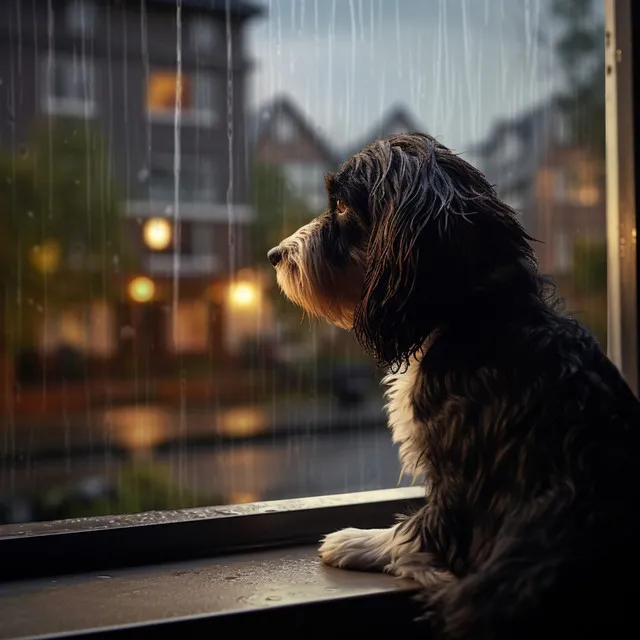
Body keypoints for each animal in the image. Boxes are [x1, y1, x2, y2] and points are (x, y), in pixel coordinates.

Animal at [268, 132, 640, 636]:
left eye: (342, 205)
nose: (275, 256)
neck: (471, 312)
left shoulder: (463, 476)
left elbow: (422, 530)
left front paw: (359, 541)